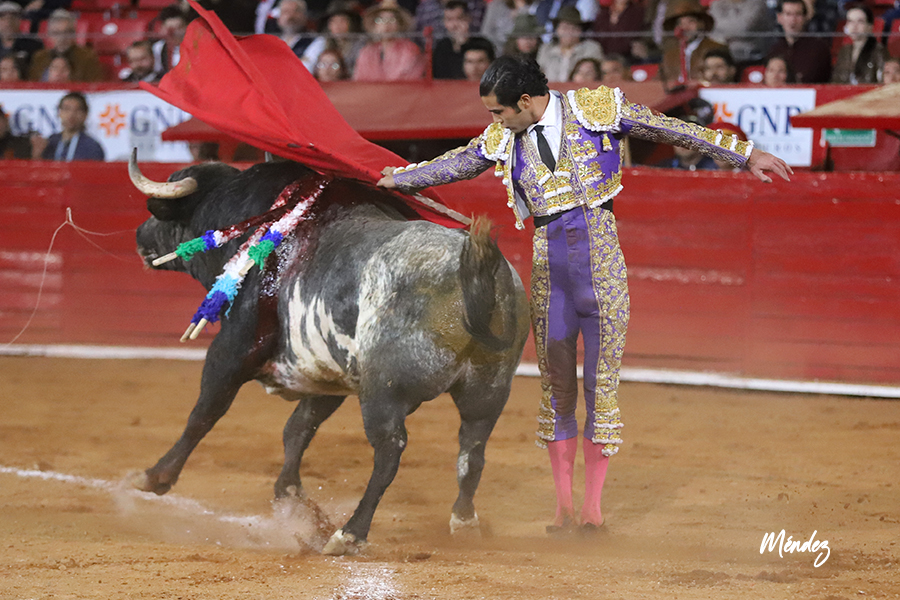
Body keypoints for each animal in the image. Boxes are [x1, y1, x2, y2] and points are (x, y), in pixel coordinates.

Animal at [129, 154, 530, 555]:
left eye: (160, 214)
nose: (139, 236)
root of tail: (477, 275)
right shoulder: (329, 371)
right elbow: (299, 428)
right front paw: (289, 495)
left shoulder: (231, 350)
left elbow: (204, 413)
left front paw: (154, 477)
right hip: (488, 390)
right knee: (472, 451)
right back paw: (464, 523)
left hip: (383, 391)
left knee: (390, 451)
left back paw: (349, 533)